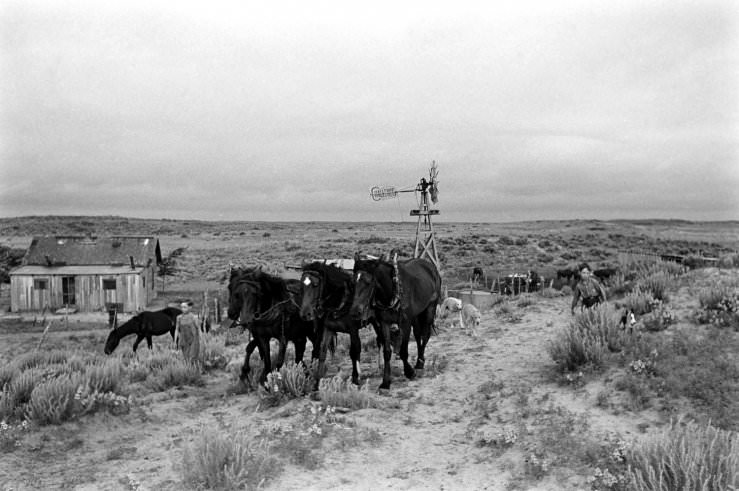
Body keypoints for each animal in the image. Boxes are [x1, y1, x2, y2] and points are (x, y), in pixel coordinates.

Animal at [350, 252, 442, 390]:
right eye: (353, 281)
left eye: (368, 282)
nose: (355, 311)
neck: (392, 290)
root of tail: (431, 267)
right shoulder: (384, 323)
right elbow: (387, 352)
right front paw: (385, 382)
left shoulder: (405, 323)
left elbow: (403, 350)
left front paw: (409, 372)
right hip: (416, 315)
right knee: (418, 335)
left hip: (430, 308)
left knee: (425, 335)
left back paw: (420, 363)